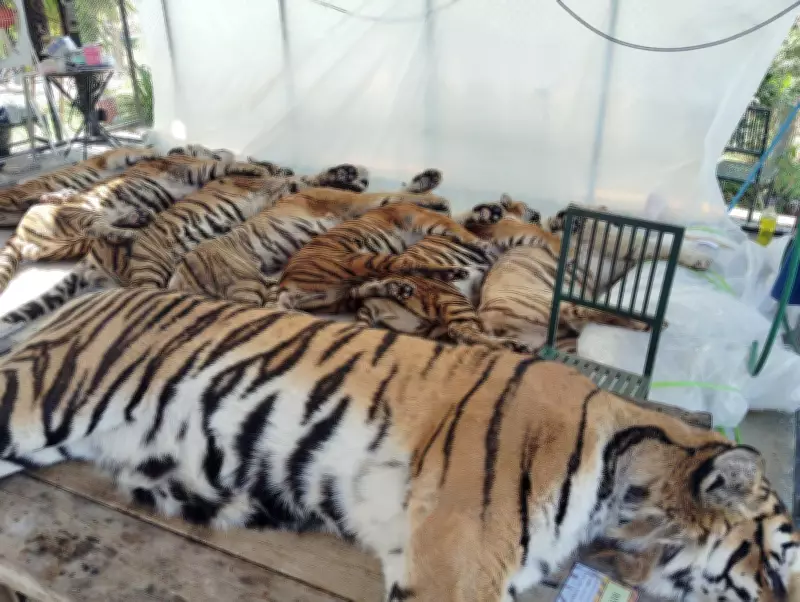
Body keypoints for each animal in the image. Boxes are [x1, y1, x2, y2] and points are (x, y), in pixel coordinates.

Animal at [0, 145, 162, 227]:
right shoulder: (109, 158)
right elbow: (129, 150)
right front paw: (150, 153)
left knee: (27, 204)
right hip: (12, 197)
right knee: (22, 200)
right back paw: (62, 194)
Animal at [168, 169, 448, 306]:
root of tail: (177, 280)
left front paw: (428, 182)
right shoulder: (352, 201)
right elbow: (392, 195)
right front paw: (436, 199)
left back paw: (396, 288)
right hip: (244, 286)